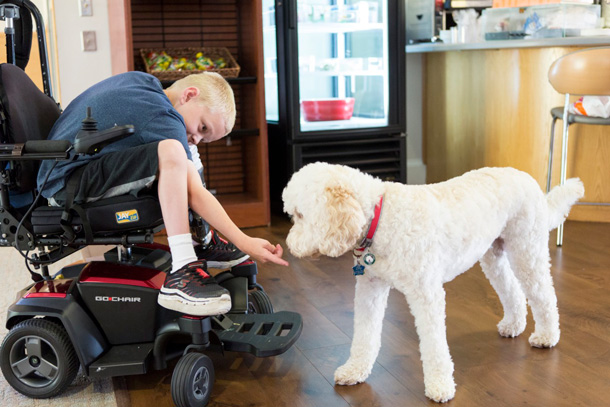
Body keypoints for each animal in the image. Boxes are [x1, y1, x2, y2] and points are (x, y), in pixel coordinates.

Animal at [282, 162, 580, 402]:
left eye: (300, 215)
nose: (289, 246)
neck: (381, 217)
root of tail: (526, 177)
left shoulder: (426, 294)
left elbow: (434, 347)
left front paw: (440, 386)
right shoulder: (370, 288)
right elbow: (364, 336)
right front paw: (355, 370)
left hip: (526, 249)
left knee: (544, 296)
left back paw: (547, 335)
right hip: (493, 255)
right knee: (513, 291)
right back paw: (514, 324)